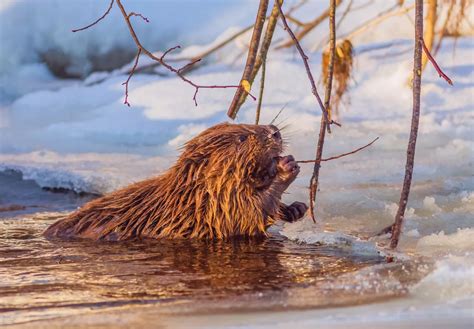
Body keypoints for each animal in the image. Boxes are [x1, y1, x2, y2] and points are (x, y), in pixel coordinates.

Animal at [43, 121, 308, 240]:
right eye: (242, 138)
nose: (275, 131)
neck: (191, 195)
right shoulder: (215, 207)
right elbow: (245, 216)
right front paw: (286, 167)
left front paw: (296, 208)